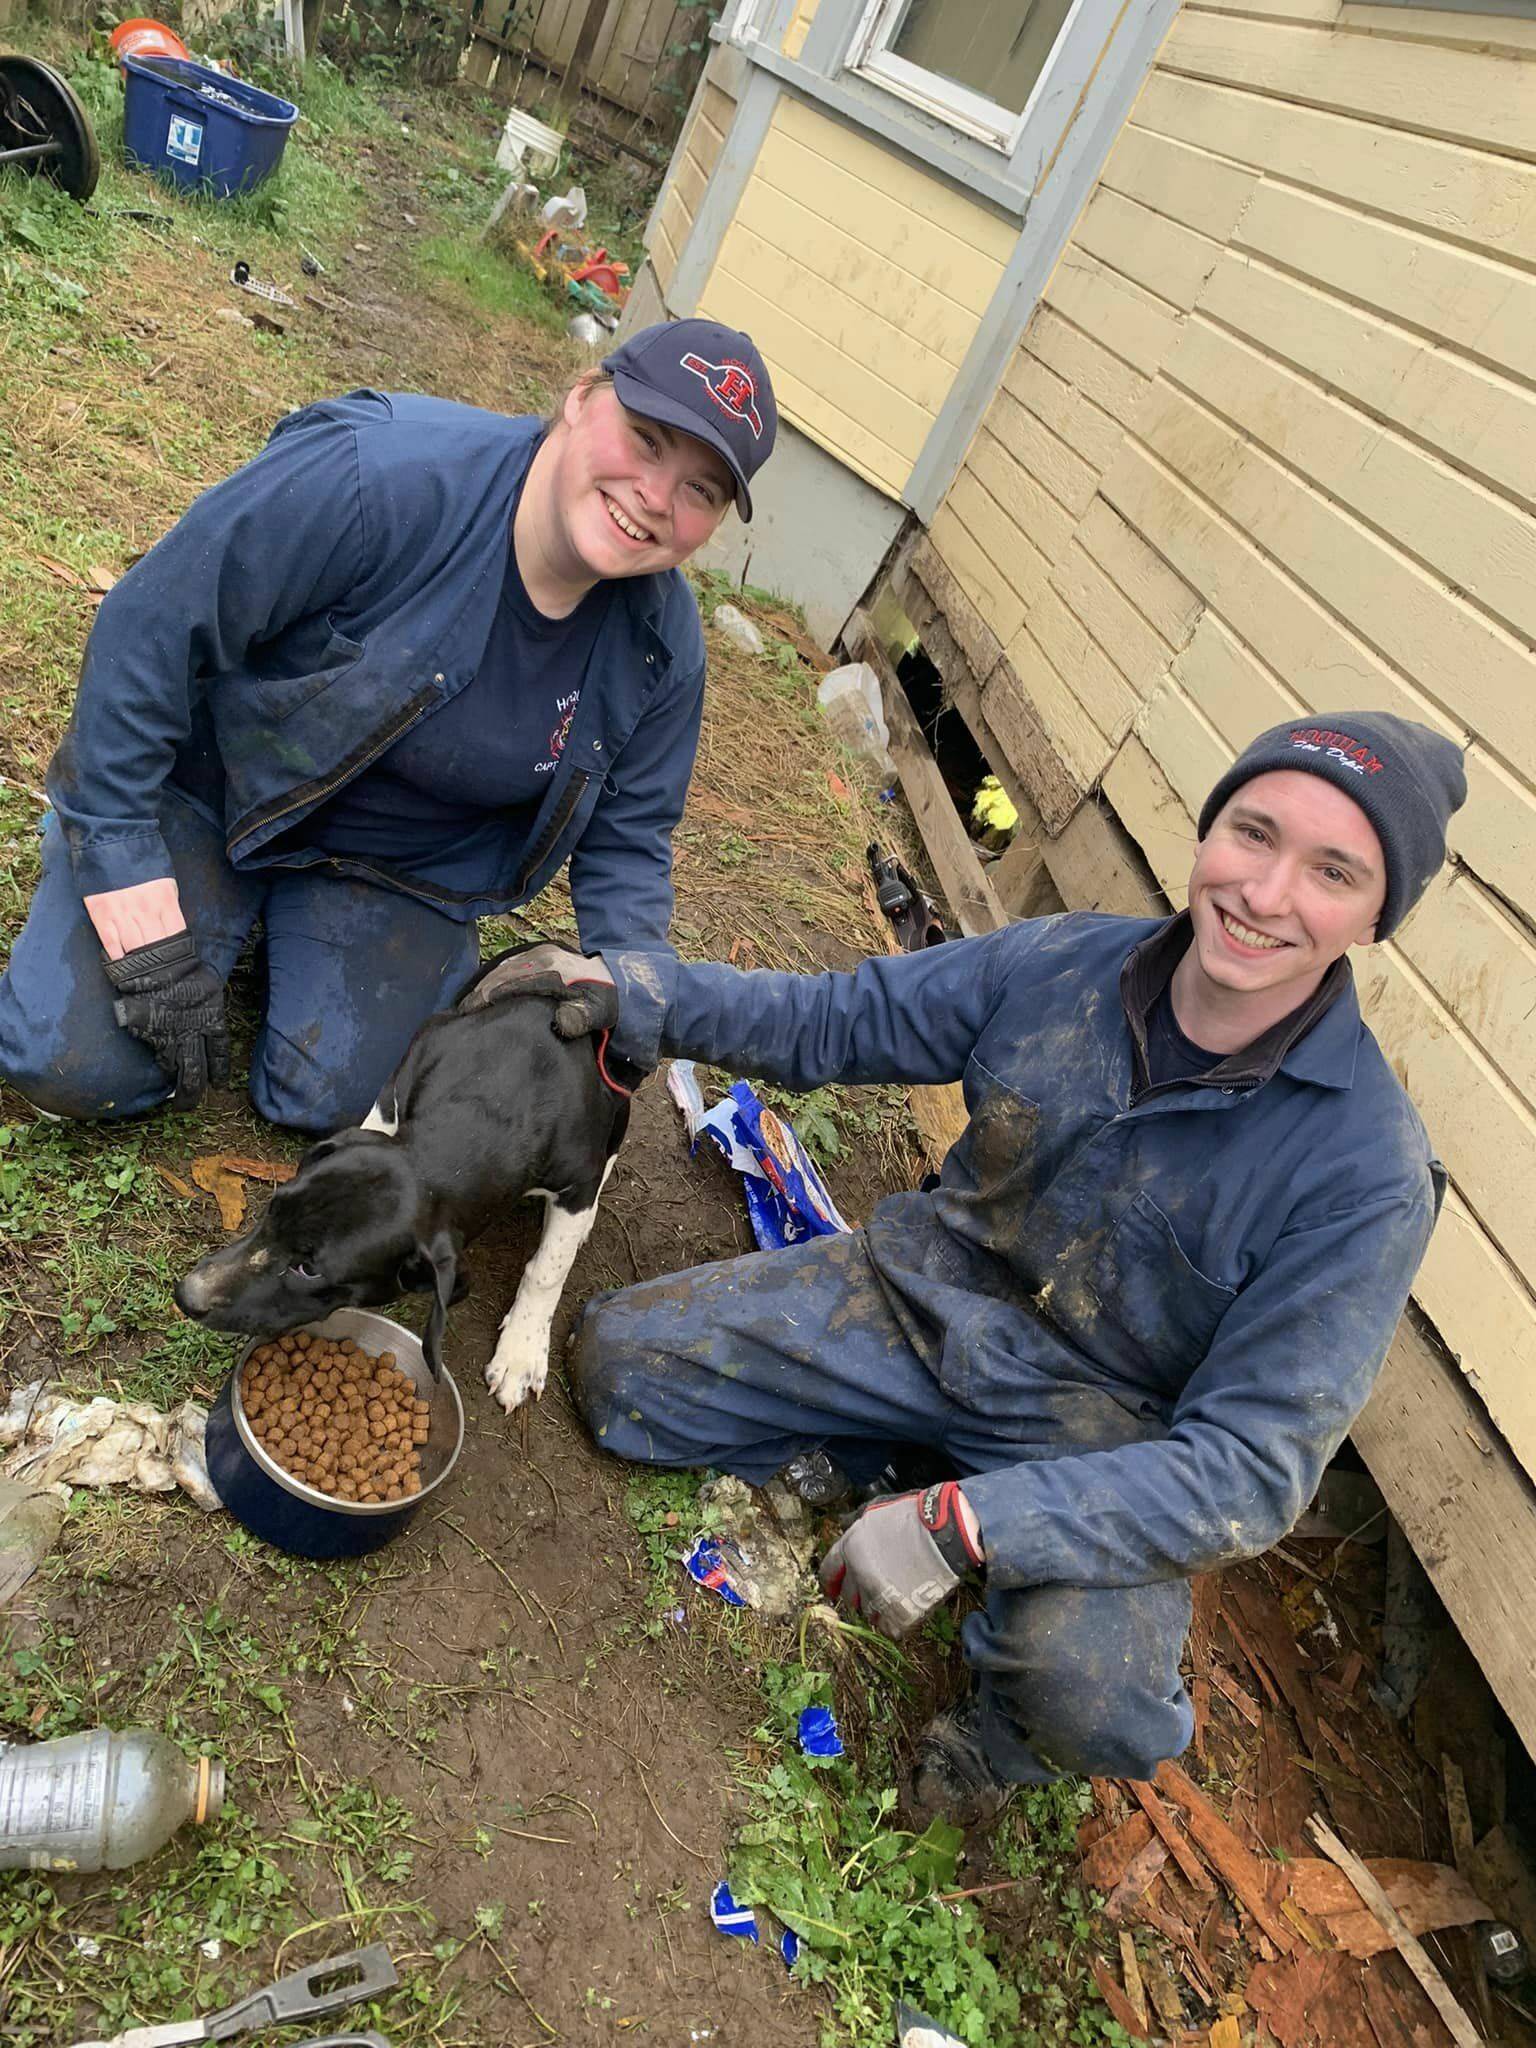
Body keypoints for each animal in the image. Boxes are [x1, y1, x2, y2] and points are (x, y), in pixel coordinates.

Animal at [177, 954, 634, 1409]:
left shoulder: (577, 1184)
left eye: (308, 1270)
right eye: (272, 1210)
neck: (496, 1106)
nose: (186, 1296)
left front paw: (520, 1352)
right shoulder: (396, 1085)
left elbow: (547, 1270)